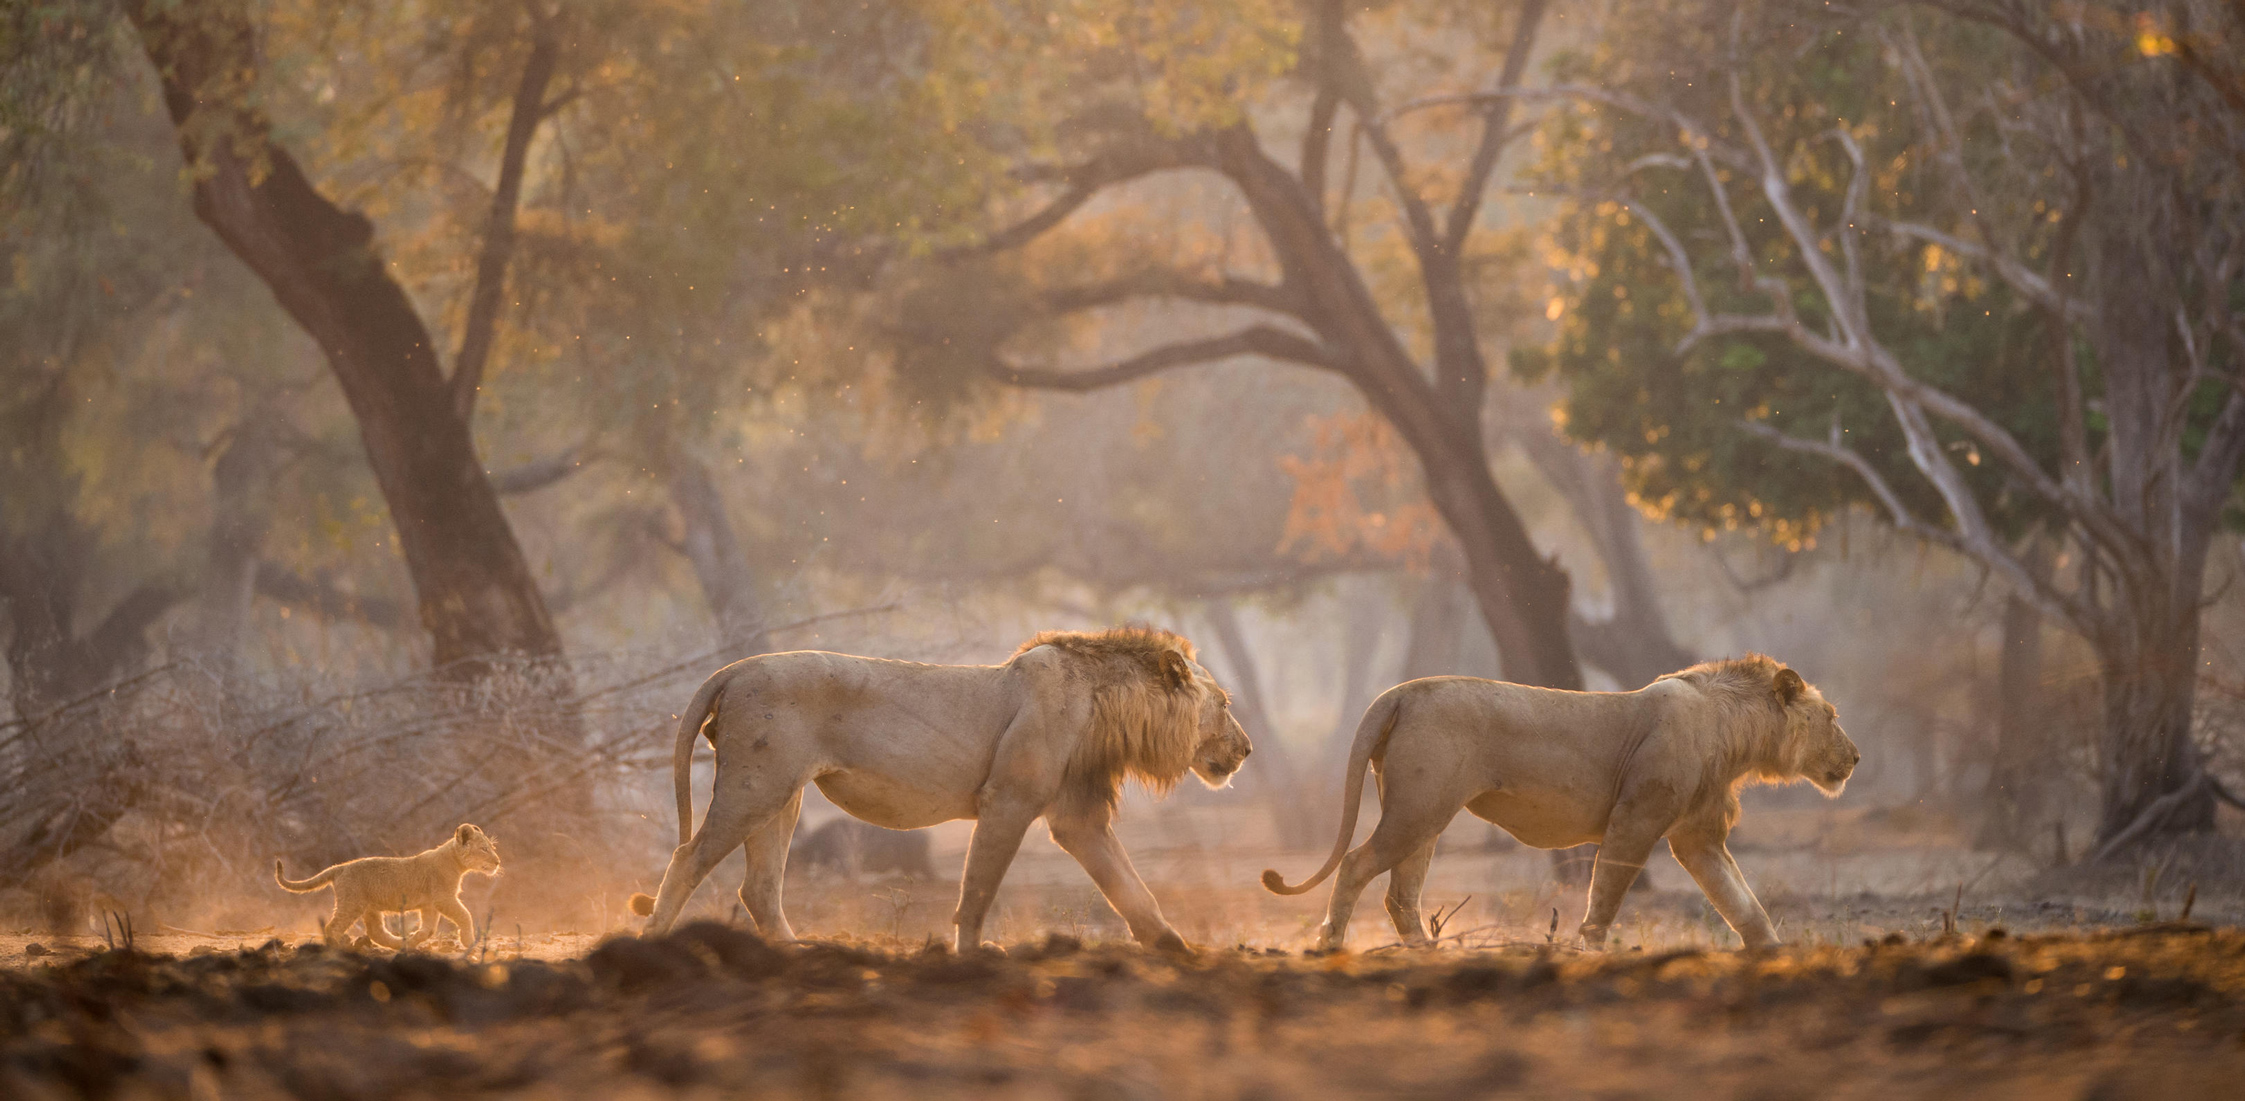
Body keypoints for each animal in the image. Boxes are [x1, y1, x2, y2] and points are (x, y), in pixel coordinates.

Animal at [276, 824, 502, 951]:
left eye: (492, 847)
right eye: (484, 849)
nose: (498, 862)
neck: (455, 861)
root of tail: (340, 867)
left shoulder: (429, 904)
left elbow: (428, 929)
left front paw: (413, 940)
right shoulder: (443, 897)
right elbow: (464, 915)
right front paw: (469, 941)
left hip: (370, 908)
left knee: (376, 932)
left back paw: (400, 944)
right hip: (352, 903)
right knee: (333, 927)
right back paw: (338, 949)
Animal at [626, 626, 1251, 954]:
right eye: (1224, 704)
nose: (1247, 750)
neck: (1107, 707)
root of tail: (734, 667)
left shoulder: (1078, 817)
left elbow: (1131, 888)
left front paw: (1177, 949)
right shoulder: (1008, 801)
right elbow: (978, 887)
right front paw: (973, 953)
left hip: (782, 794)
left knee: (758, 888)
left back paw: (795, 953)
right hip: (755, 786)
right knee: (688, 857)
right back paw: (651, 943)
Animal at [1263, 656, 1857, 951]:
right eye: (1833, 717)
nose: (1855, 758)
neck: (1735, 735)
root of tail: (1401, 690)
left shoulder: (1698, 838)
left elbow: (1744, 905)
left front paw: (1775, 956)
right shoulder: (1636, 820)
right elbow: (1607, 896)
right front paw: (1589, 950)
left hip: (1422, 817)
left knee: (1400, 895)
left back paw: (1427, 955)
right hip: (1417, 811)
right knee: (1354, 864)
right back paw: (1331, 945)